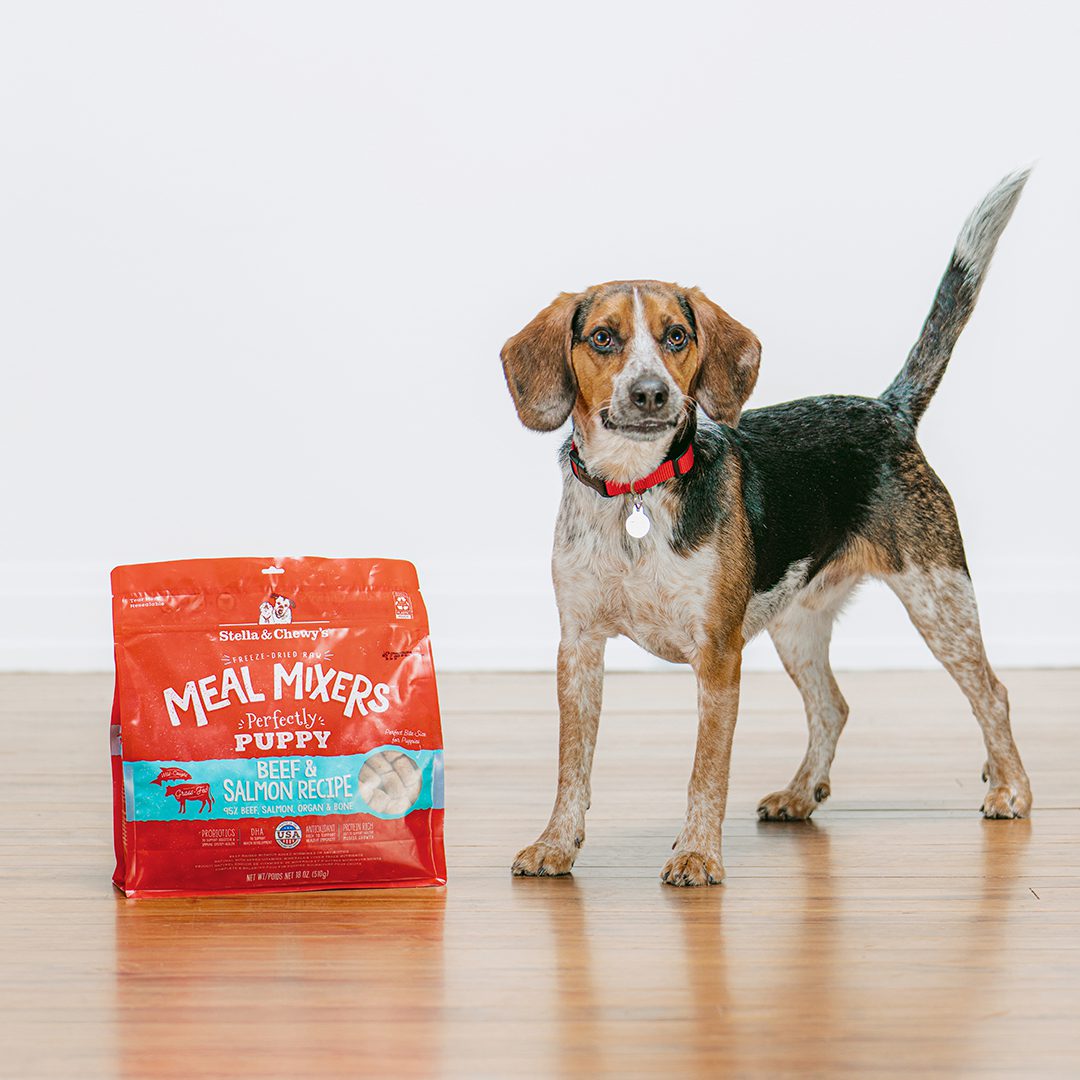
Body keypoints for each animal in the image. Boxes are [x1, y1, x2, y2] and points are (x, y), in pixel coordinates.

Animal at [501, 170, 1032, 885]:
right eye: (604, 339)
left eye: (676, 336)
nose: (651, 394)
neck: (636, 490)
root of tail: (889, 409)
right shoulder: (578, 649)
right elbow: (571, 766)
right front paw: (557, 843)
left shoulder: (718, 657)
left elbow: (706, 772)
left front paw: (697, 853)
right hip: (797, 623)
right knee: (833, 706)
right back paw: (802, 793)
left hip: (939, 600)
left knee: (993, 693)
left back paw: (1010, 788)